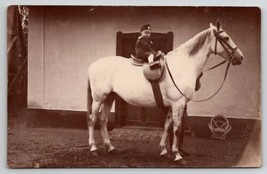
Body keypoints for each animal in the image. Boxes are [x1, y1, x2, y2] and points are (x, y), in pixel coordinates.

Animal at [87, 21, 244, 162]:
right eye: (225, 38)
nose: (241, 57)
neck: (182, 65)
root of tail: (93, 65)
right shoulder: (178, 104)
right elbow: (176, 128)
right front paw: (177, 155)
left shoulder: (171, 106)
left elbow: (167, 126)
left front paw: (164, 151)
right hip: (98, 99)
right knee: (92, 119)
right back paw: (93, 149)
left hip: (110, 97)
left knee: (103, 120)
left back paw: (110, 148)